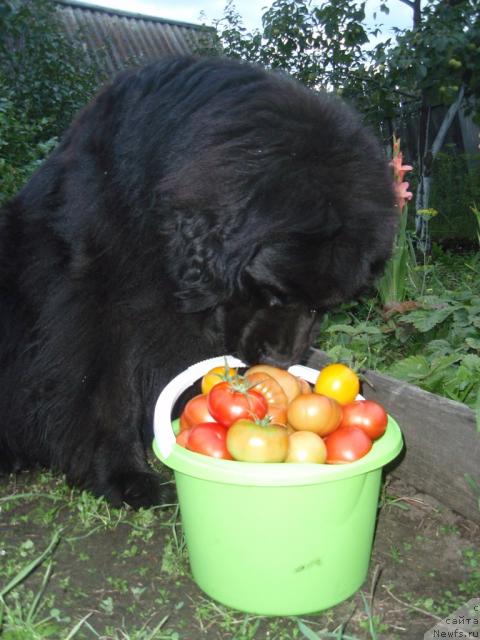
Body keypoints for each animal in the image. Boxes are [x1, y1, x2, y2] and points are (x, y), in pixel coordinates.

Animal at [0, 56, 398, 504]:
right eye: (273, 294)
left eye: (322, 307)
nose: (282, 361)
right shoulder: (96, 302)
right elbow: (107, 388)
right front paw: (123, 475)